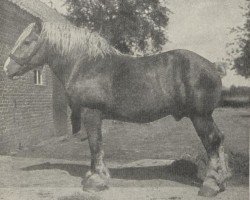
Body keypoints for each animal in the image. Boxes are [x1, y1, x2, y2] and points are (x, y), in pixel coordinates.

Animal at [3, 20, 230, 197]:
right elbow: (95, 145)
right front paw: (94, 175)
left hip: (200, 116)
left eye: (27, 42)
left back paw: (210, 184)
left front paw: (96, 181)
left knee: (212, 141)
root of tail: (212, 66)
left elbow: (95, 145)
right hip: (204, 117)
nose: (6, 69)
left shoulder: (91, 112)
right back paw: (221, 180)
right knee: (219, 139)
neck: (84, 64)